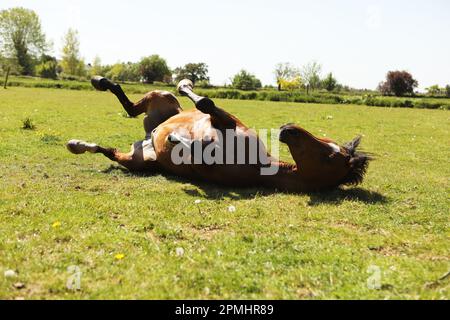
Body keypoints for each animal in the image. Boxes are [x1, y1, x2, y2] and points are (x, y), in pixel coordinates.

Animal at [66, 77, 370, 192]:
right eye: (328, 144)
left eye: (329, 156)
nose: (288, 129)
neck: (258, 165)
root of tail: (148, 136)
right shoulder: (227, 122)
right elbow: (206, 104)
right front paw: (188, 89)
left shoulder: (206, 169)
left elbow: (197, 152)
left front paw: (179, 141)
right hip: (161, 98)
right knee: (131, 104)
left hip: (137, 161)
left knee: (111, 147)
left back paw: (76, 144)